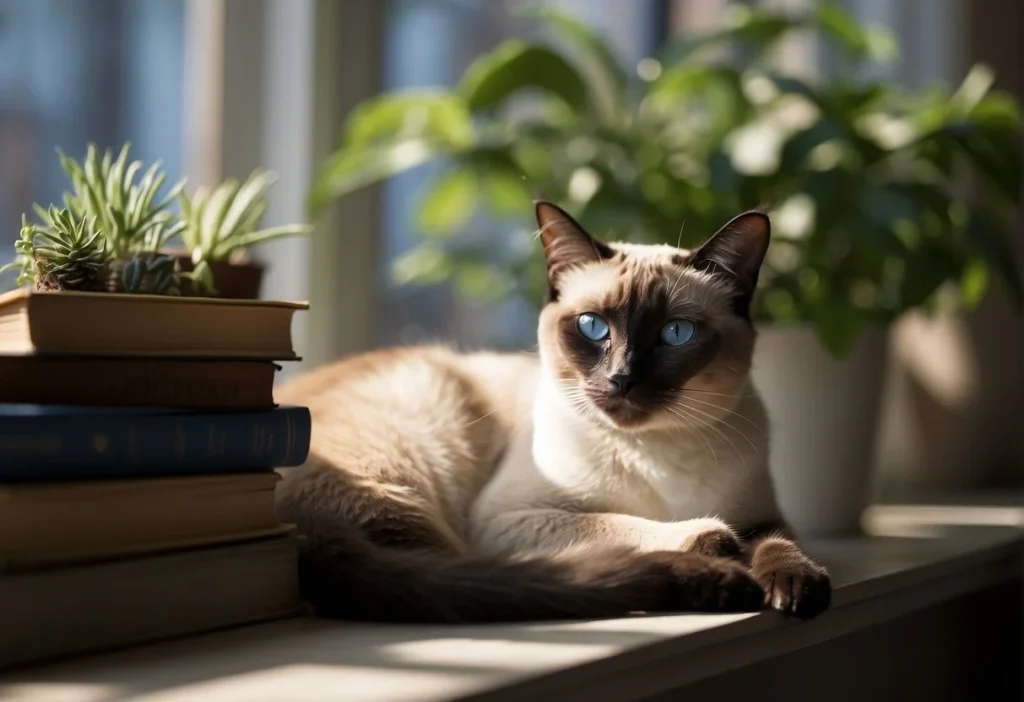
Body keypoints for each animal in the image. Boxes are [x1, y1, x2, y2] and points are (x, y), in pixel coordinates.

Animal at [274, 202, 831, 622]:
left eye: (676, 333)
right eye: (592, 327)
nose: (622, 379)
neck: (657, 451)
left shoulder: (764, 516)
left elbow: (778, 544)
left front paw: (796, 589)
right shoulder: (510, 519)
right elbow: (627, 523)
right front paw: (724, 551)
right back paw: (722, 580)